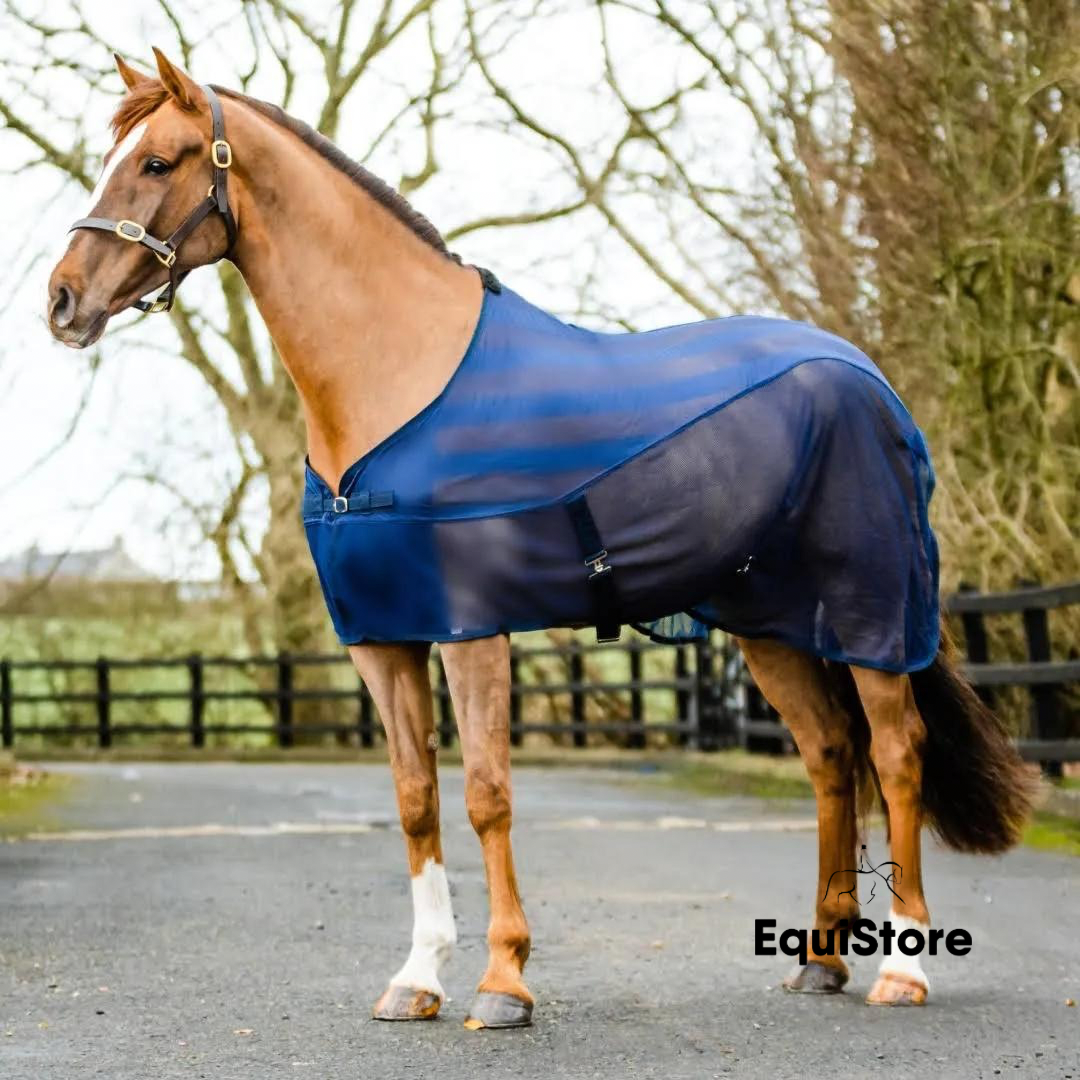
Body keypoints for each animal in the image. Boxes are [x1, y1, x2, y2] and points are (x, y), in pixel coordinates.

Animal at [45, 50, 1034, 1027]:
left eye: (158, 162)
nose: (62, 300)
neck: (396, 379)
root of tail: (871, 380)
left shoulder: (470, 630)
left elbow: (487, 796)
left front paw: (503, 982)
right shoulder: (383, 639)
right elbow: (415, 799)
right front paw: (418, 977)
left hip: (870, 616)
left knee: (896, 756)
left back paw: (903, 968)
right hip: (771, 625)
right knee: (830, 757)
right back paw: (820, 961)